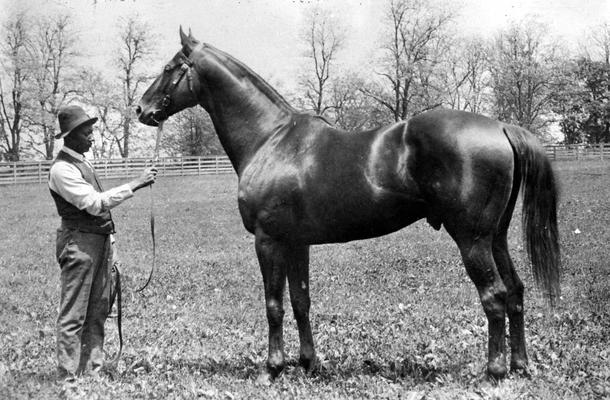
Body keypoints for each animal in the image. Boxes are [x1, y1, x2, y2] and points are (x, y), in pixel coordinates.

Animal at [135, 28, 560, 382]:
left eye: (169, 67)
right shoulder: (296, 242)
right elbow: (300, 300)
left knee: (495, 297)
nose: (141, 109)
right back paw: (520, 365)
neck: (270, 139)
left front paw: (273, 368)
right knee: (515, 291)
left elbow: (273, 303)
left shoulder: (267, 240)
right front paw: (308, 363)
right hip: (496, 237)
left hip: (471, 240)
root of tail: (501, 127)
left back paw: (494, 371)